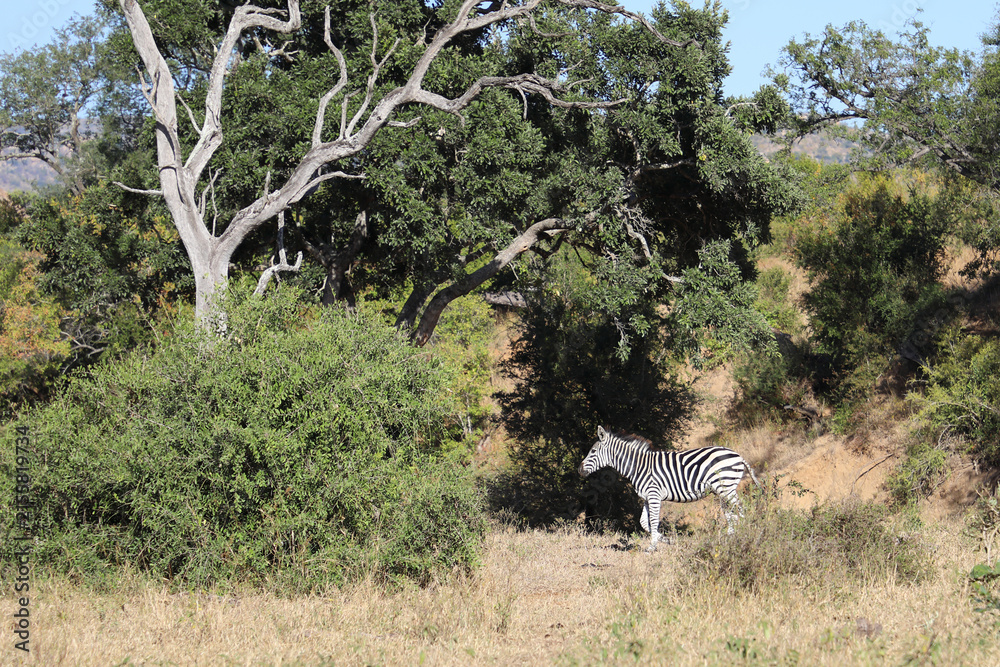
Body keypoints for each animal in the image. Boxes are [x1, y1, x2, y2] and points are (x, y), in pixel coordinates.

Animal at [578, 426, 762, 551]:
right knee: (731, 514)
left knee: (741, 510)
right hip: (721, 491)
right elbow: (644, 522)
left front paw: (652, 547)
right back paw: (729, 539)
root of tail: (738, 455)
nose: (579, 470)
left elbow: (653, 521)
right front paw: (666, 540)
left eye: (593, 451)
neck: (639, 467)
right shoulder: (647, 497)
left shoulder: (654, 494)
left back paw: (745, 534)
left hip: (727, 487)